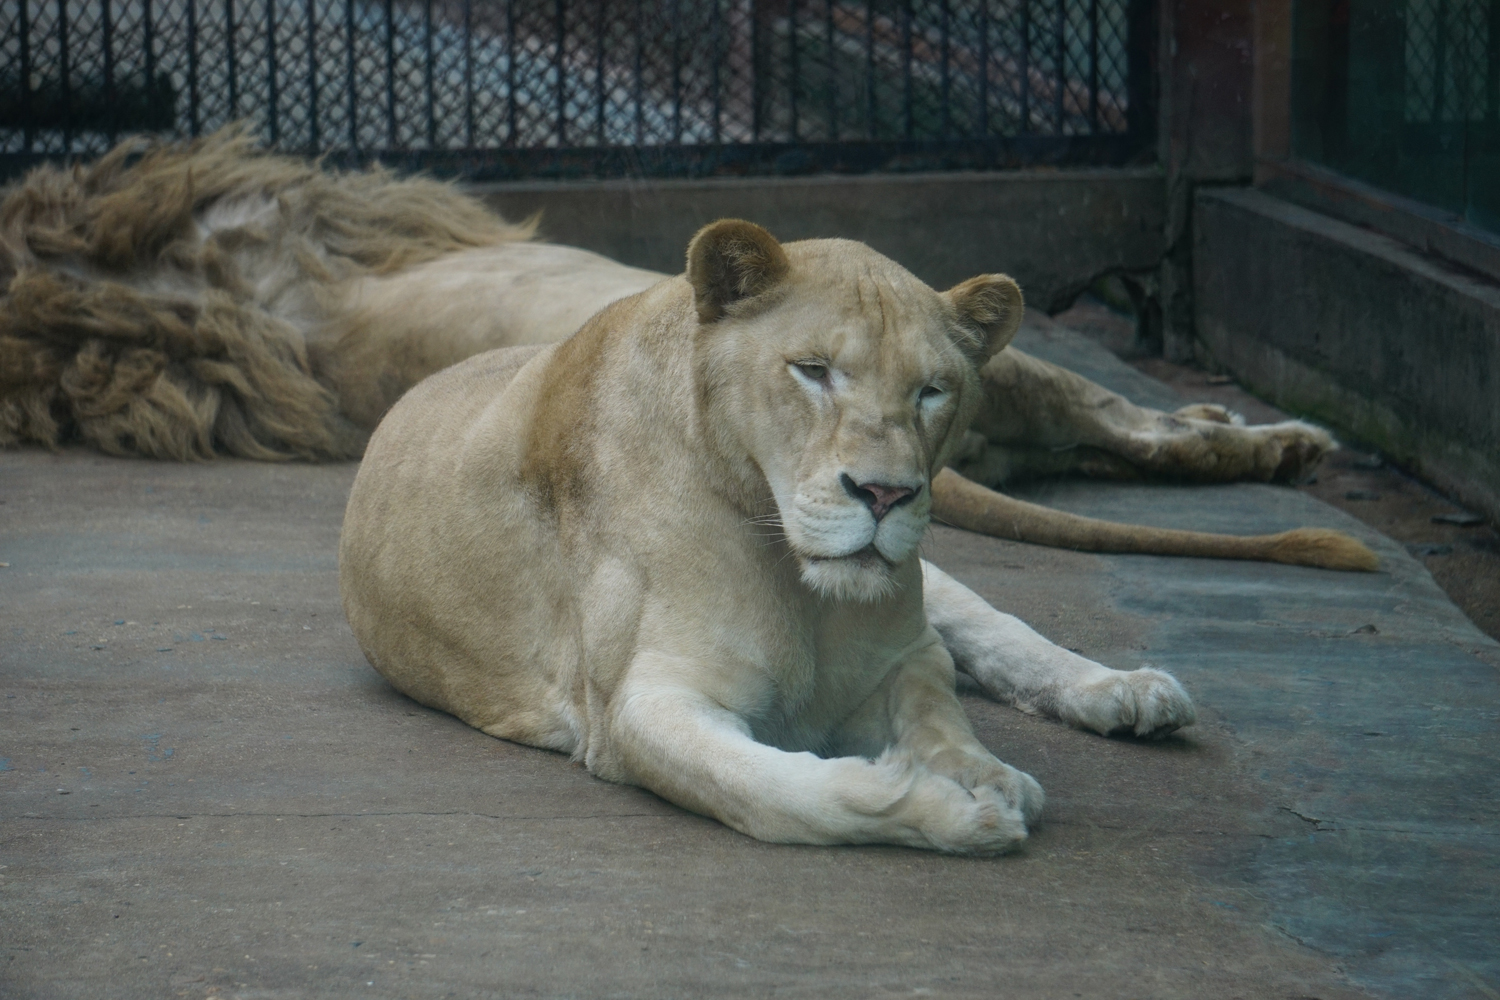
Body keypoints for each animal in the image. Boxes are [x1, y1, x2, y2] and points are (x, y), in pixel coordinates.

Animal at [339, 220, 1198, 852]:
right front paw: (952, 809)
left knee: (994, 629)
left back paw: (1125, 691)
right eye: (812, 370)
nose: (886, 494)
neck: (793, 571)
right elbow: (788, 796)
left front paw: (983, 773)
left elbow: (942, 711)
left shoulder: (905, 652)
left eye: (932, 391)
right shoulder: (641, 707)